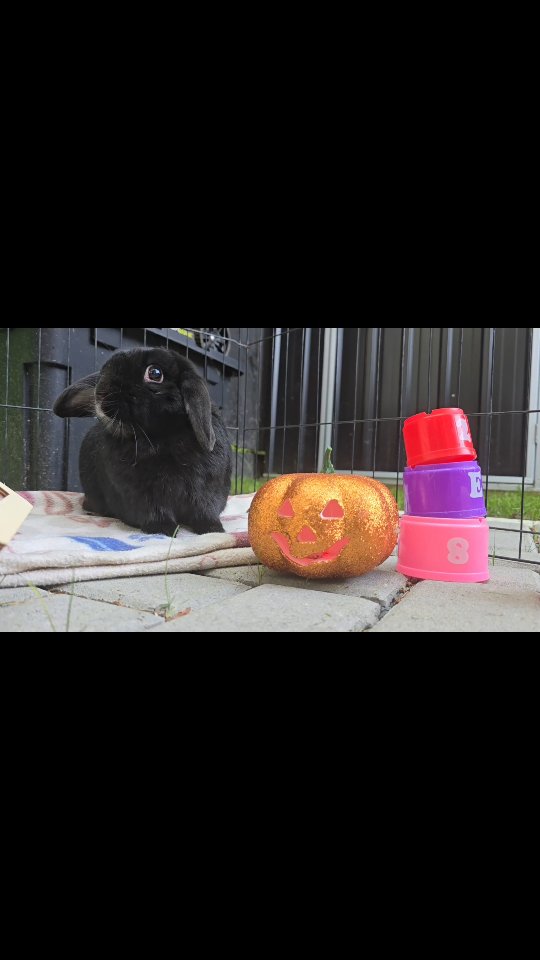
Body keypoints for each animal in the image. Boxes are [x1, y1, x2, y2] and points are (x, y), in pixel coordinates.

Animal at [53, 347, 233, 536]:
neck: (161, 435)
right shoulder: (141, 494)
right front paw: (163, 530)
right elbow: (154, 511)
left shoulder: (207, 488)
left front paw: (213, 530)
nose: (100, 392)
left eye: (155, 373)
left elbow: (205, 510)